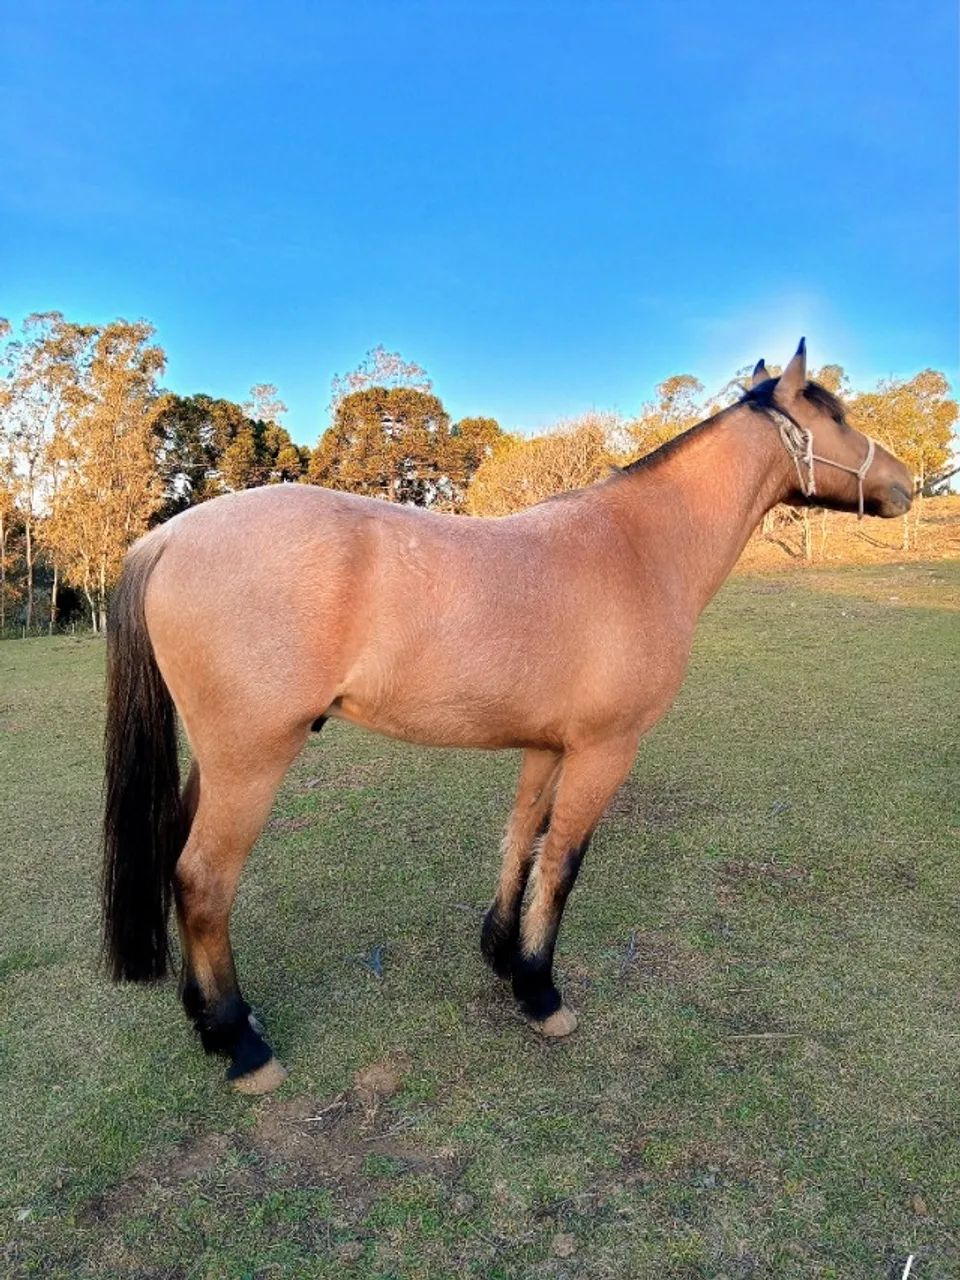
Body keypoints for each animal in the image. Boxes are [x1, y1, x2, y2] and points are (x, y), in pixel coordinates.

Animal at [102, 339, 914, 1094]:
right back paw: (240, 1044)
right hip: (251, 764)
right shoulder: (605, 750)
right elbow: (562, 864)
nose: (908, 484)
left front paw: (499, 954)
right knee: (204, 882)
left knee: (177, 862)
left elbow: (521, 841)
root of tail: (168, 536)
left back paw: (209, 1018)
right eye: (838, 415)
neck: (641, 546)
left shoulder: (548, 747)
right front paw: (539, 992)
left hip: (217, 763)